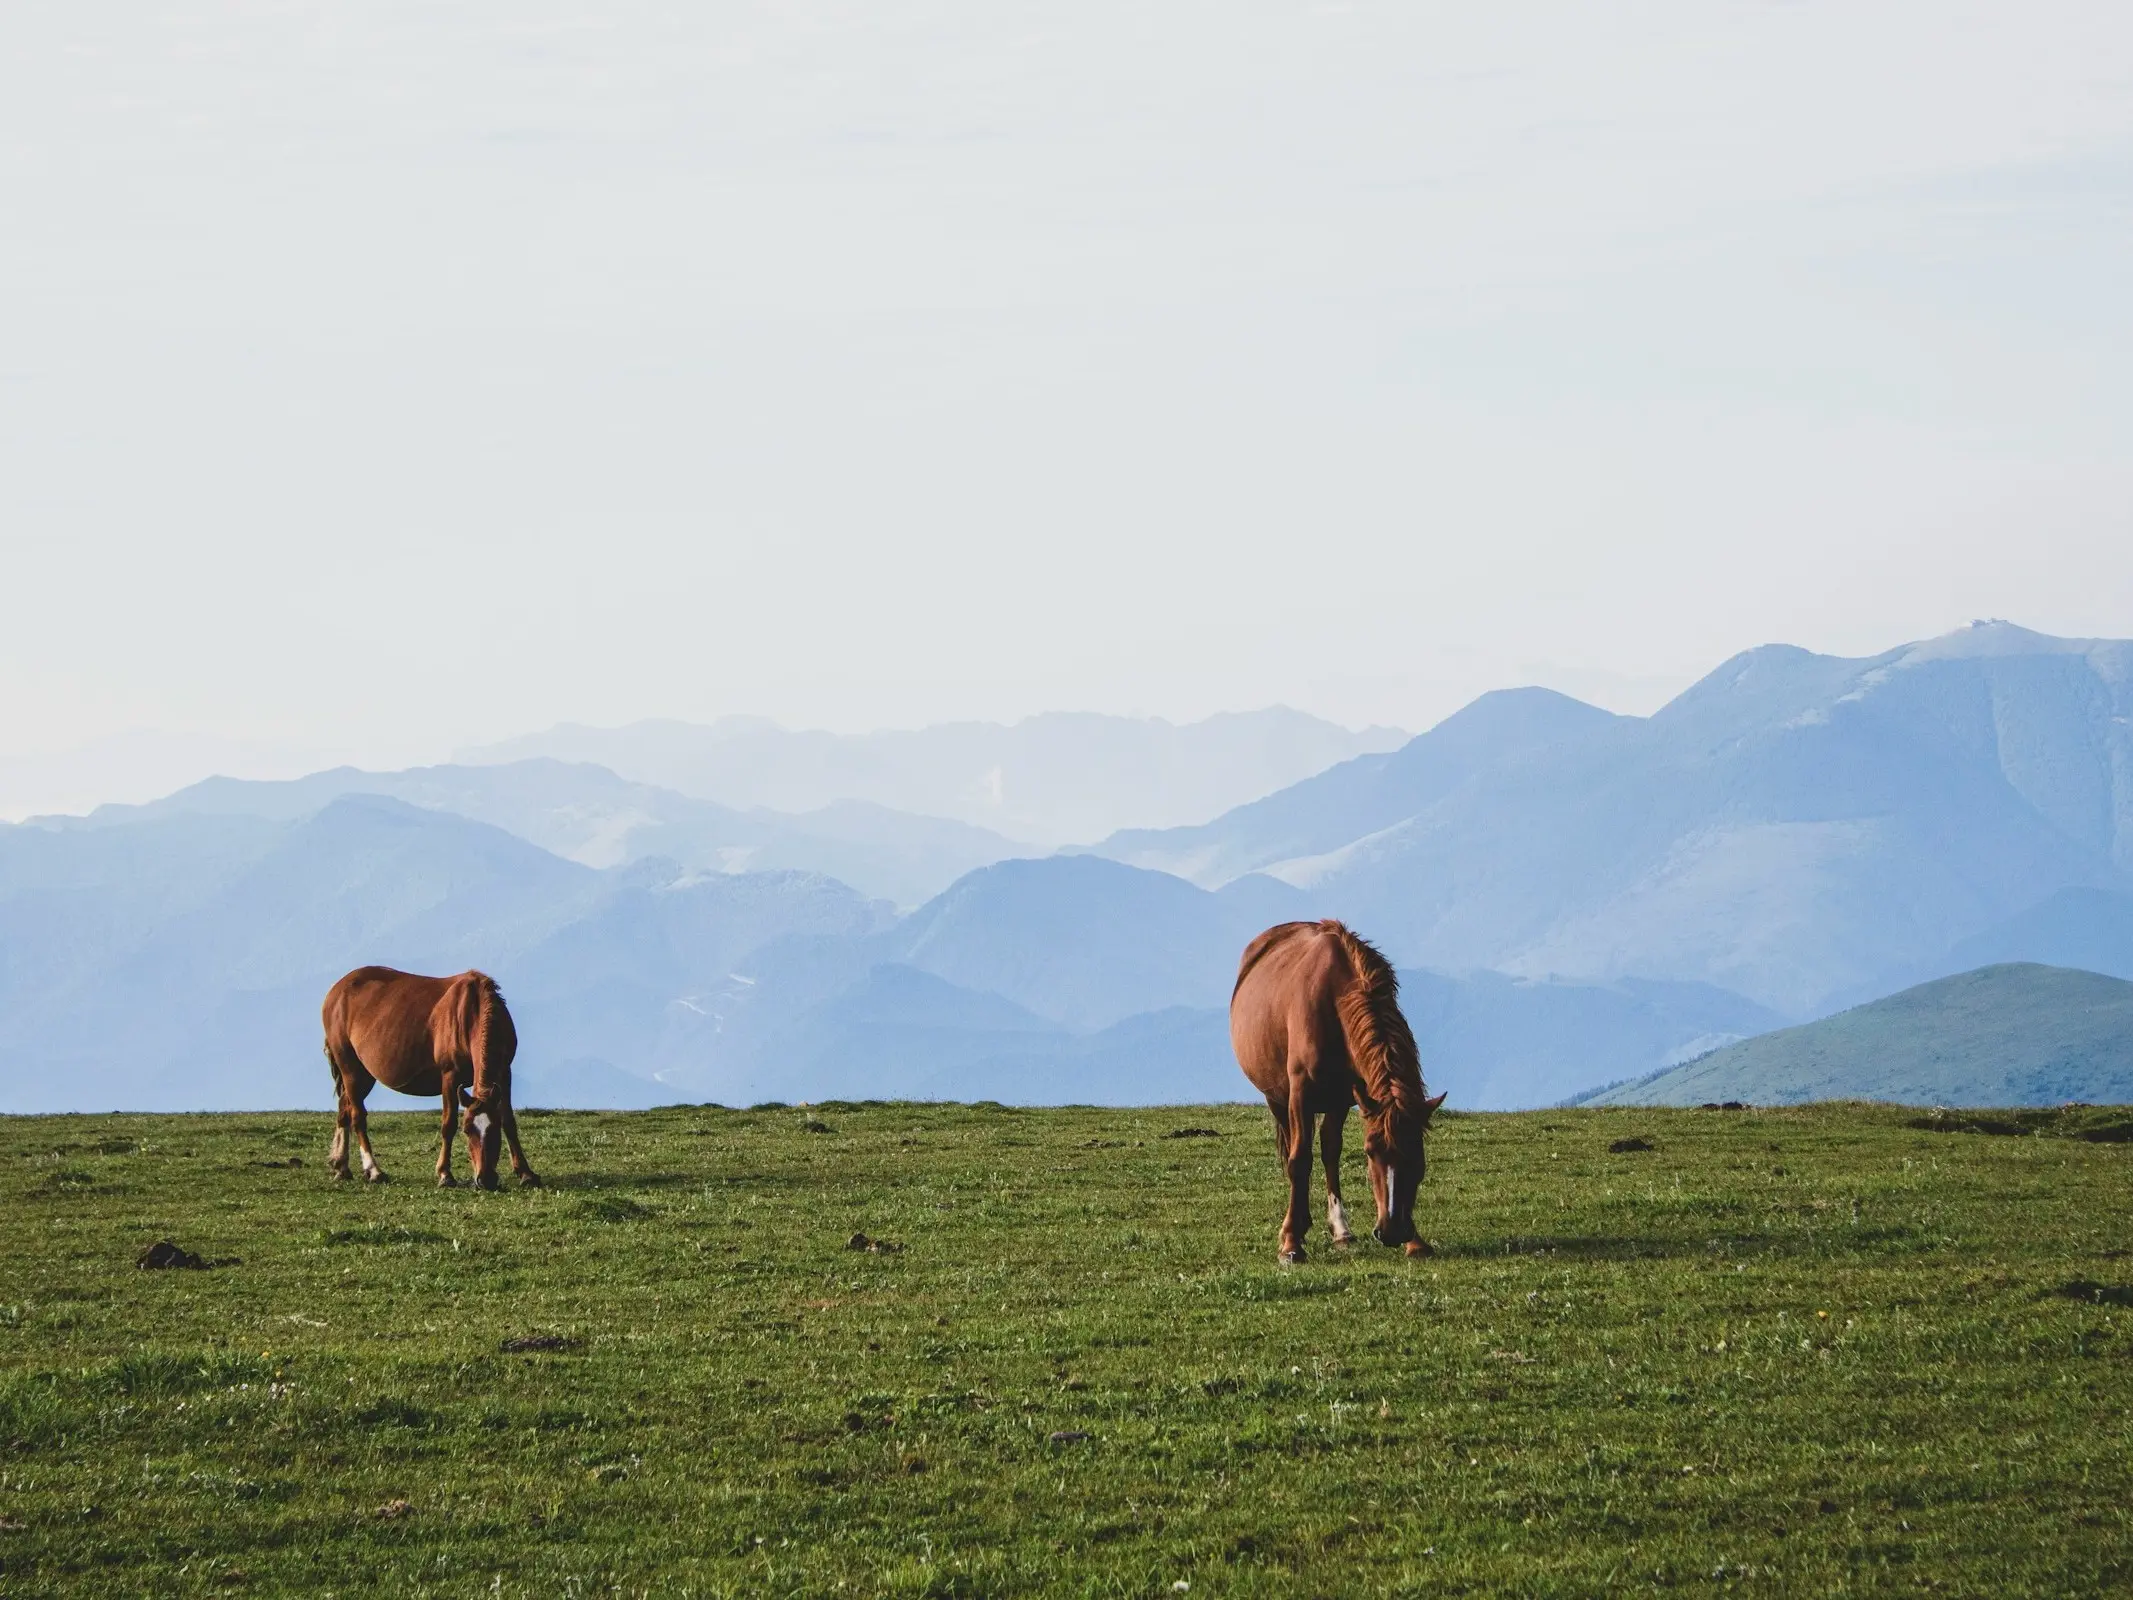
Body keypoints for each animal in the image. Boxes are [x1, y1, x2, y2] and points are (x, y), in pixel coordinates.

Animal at [326, 964, 541, 1194]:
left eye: (494, 1129)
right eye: (467, 1130)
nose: (485, 1179)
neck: (471, 1013)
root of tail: (336, 991)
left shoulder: (504, 1072)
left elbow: (509, 1121)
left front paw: (526, 1173)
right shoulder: (449, 1076)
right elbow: (448, 1123)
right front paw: (445, 1174)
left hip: (364, 1075)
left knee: (344, 1109)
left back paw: (341, 1167)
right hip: (350, 1068)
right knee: (357, 1116)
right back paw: (374, 1170)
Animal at [1237, 925, 1450, 1262]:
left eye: (1417, 1152)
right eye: (1370, 1151)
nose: (1392, 1231)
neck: (1334, 1003)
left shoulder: (1344, 1097)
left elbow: (1330, 1151)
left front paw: (1415, 1242)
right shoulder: (1301, 1094)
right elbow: (1299, 1161)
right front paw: (1291, 1244)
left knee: (1328, 1150)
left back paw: (1339, 1230)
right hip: (1277, 1098)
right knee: (1294, 1152)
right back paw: (1294, 1227)